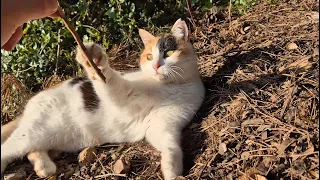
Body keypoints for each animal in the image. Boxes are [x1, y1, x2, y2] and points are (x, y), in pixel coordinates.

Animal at [0, 19, 205, 179]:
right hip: (34, 131)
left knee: (32, 150)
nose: (155, 66)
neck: (169, 88)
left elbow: (171, 146)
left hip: (48, 137)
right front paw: (94, 59)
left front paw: (173, 171)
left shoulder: (163, 126)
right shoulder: (123, 95)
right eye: (149, 56)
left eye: (168, 53)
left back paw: (44, 167)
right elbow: (108, 79)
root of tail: (34, 101)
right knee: (8, 148)